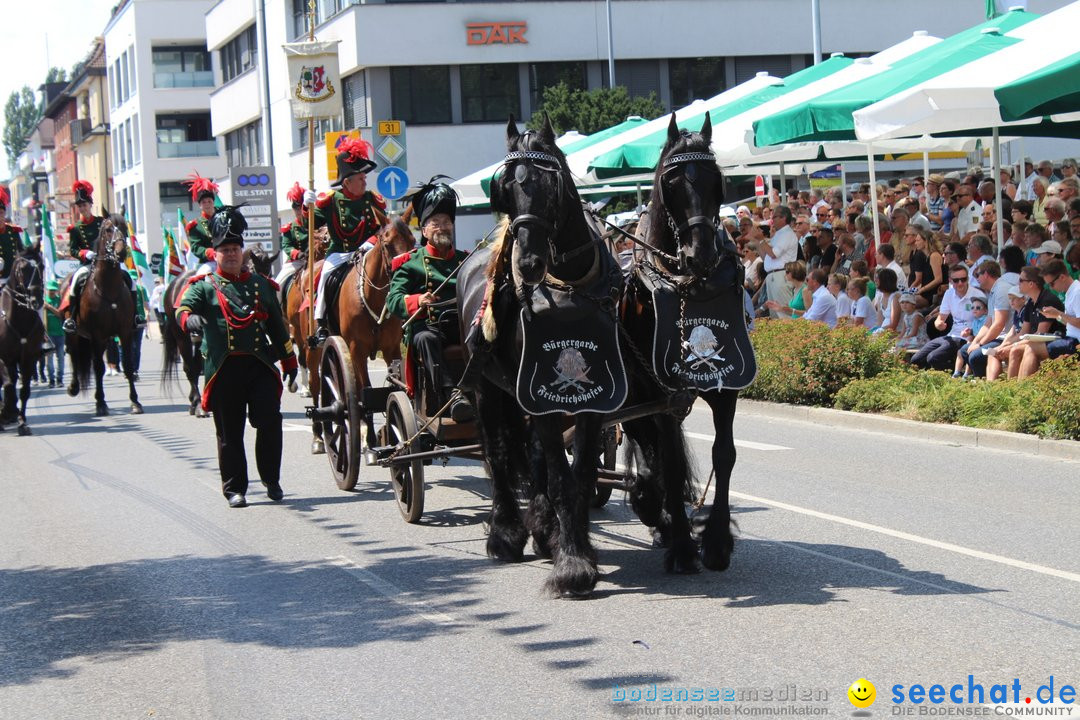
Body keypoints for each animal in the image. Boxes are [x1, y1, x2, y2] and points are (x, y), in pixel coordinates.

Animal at [162, 248, 278, 416]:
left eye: (270, 272)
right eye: (253, 268)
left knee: (196, 366)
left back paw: (195, 402)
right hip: (182, 338)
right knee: (190, 369)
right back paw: (197, 403)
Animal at [455, 117, 626, 595]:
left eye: (552, 184)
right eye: (505, 190)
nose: (528, 263)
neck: (568, 288)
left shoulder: (593, 400)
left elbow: (579, 474)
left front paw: (574, 545)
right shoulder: (544, 399)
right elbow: (560, 475)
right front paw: (572, 564)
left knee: (531, 454)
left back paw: (542, 526)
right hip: (486, 388)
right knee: (497, 452)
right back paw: (506, 533)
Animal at [622, 112, 756, 574]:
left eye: (718, 181)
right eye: (672, 180)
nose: (700, 254)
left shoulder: (727, 387)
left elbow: (725, 454)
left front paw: (716, 541)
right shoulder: (661, 393)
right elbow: (671, 460)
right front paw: (682, 543)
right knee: (646, 444)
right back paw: (652, 506)